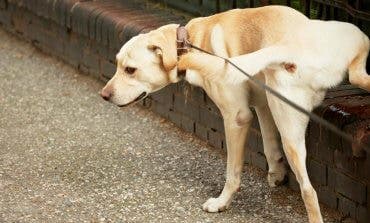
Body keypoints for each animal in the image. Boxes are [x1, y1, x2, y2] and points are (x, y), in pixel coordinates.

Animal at [101, 5, 370, 223]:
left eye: (130, 70)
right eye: (117, 64)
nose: (103, 95)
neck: (191, 40)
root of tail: (291, 46)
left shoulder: (237, 117)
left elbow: (232, 172)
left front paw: (222, 202)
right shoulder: (263, 104)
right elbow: (269, 145)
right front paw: (276, 173)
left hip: (288, 128)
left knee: (309, 191)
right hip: (354, 44)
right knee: (360, 77)